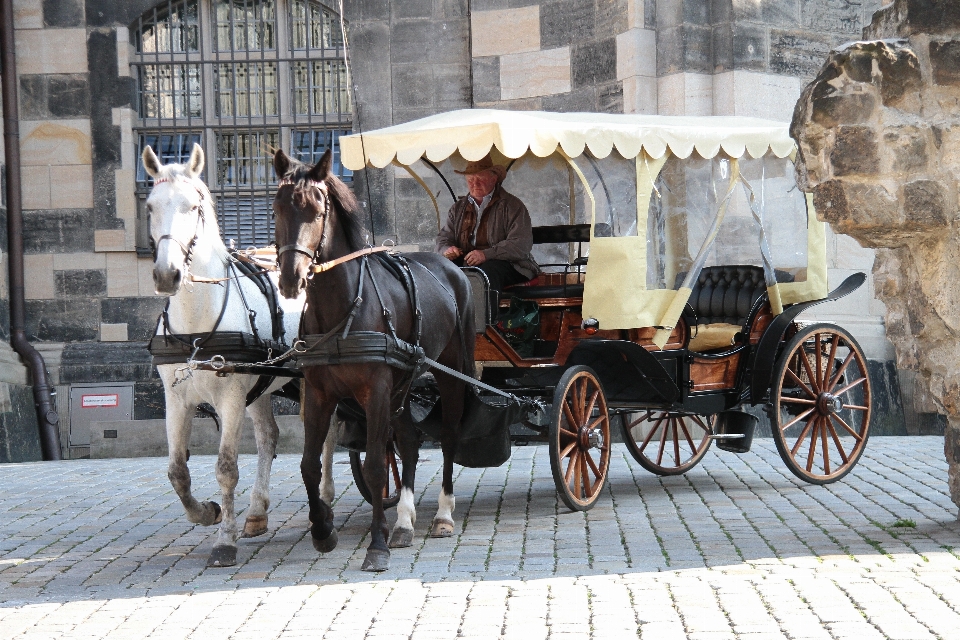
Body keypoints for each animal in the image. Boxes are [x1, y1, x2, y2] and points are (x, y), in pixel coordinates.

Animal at [142, 144, 338, 564]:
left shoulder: (230, 397)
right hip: (261, 386)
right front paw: (207, 513)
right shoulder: (176, 398)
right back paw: (257, 512)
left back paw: (325, 498)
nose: (167, 274)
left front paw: (224, 541)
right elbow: (176, 471)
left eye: (193, 206)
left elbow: (226, 468)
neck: (196, 325)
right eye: (150, 206)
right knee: (269, 436)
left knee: (328, 433)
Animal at [272, 151, 474, 576]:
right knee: (409, 443)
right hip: (403, 382)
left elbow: (376, 468)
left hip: (450, 374)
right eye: (277, 207)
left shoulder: (375, 390)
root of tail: (453, 269)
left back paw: (443, 516)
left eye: (317, 211)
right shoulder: (320, 394)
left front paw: (376, 546)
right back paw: (404, 522)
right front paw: (323, 531)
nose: (291, 279)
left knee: (448, 438)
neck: (344, 307)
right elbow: (309, 465)